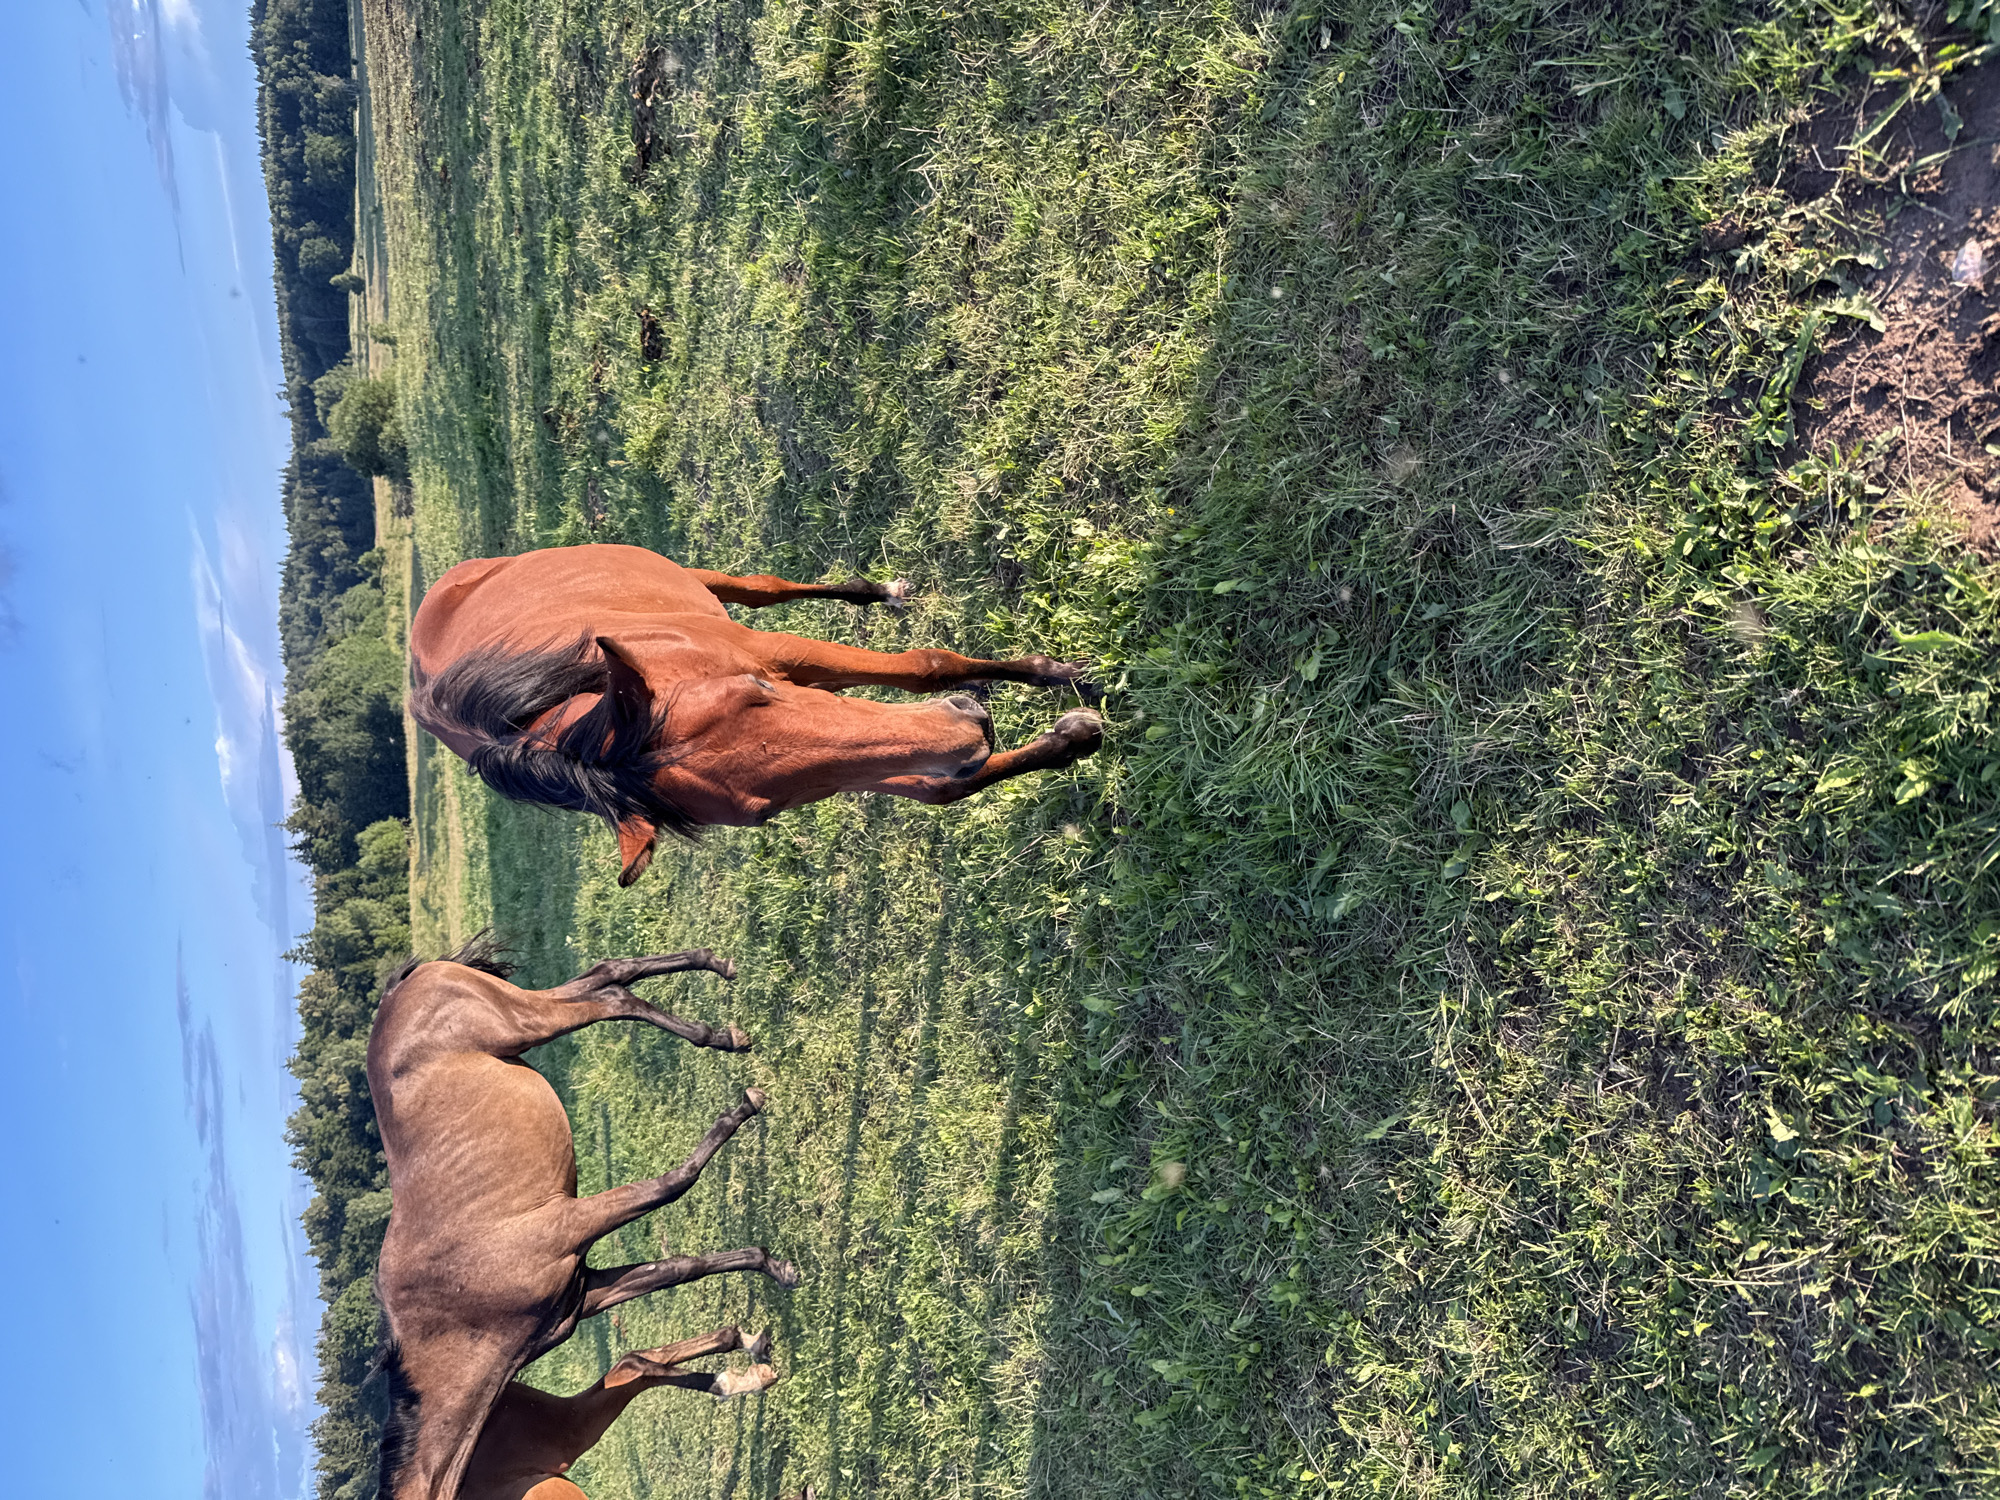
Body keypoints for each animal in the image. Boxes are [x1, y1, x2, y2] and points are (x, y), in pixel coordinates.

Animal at [368, 937, 797, 1500]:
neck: (453, 1308)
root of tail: (400, 991)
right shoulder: (583, 1290)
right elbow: (676, 1268)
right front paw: (758, 1312)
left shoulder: (571, 1225)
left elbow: (674, 1184)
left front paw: (743, 1111)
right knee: (607, 974)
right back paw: (717, 979)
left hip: (525, 1021)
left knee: (610, 994)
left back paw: (721, 1033)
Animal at [409, 544, 1105, 885]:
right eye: (765, 812)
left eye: (757, 692)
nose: (968, 730)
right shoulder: (848, 762)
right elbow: (941, 787)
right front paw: (1068, 736)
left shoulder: (784, 655)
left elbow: (924, 666)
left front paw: (1056, 675)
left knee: (761, 588)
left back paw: (877, 591)